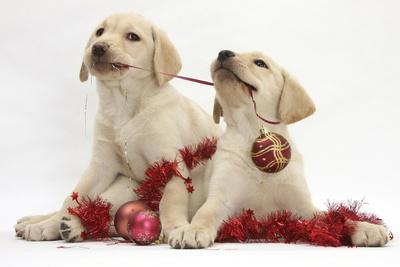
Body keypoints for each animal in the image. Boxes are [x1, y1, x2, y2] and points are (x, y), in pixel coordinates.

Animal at [14, 12, 220, 243]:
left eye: (132, 36)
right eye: (100, 32)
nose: (98, 47)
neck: (122, 104)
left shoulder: (170, 163)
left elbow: (171, 199)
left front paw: (176, 227)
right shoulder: (100, 165)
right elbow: (73, 197)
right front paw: (49, 224)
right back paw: (42, 223)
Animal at [169, 49, 390, 249]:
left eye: (260, 63)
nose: (223, 53)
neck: (252, 130)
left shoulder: (303, 207)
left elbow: (335, 217)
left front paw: (364, 227)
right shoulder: (221, 198)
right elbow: (205, 213)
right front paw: (192, 229)